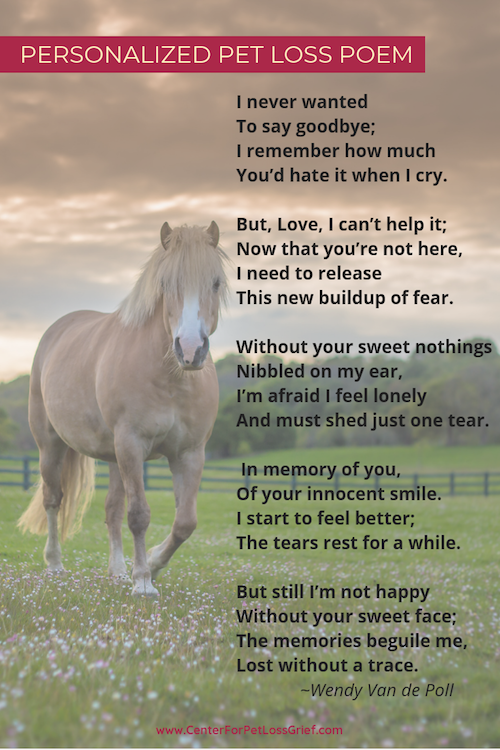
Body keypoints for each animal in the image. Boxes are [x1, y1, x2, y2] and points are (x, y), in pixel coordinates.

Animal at [18, 221, 228, 596]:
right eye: (165, 283)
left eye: (215, 282)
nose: (190, 350)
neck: (171, 378)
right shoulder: (131, 444)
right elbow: (139, 515)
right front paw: (143, 581)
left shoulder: (189, 453)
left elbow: (184, 522)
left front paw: (153, 565)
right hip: (51, 447)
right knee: (53, 500)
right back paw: (55, 564)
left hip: (113, 458)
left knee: (112, 509)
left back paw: (116, 570)